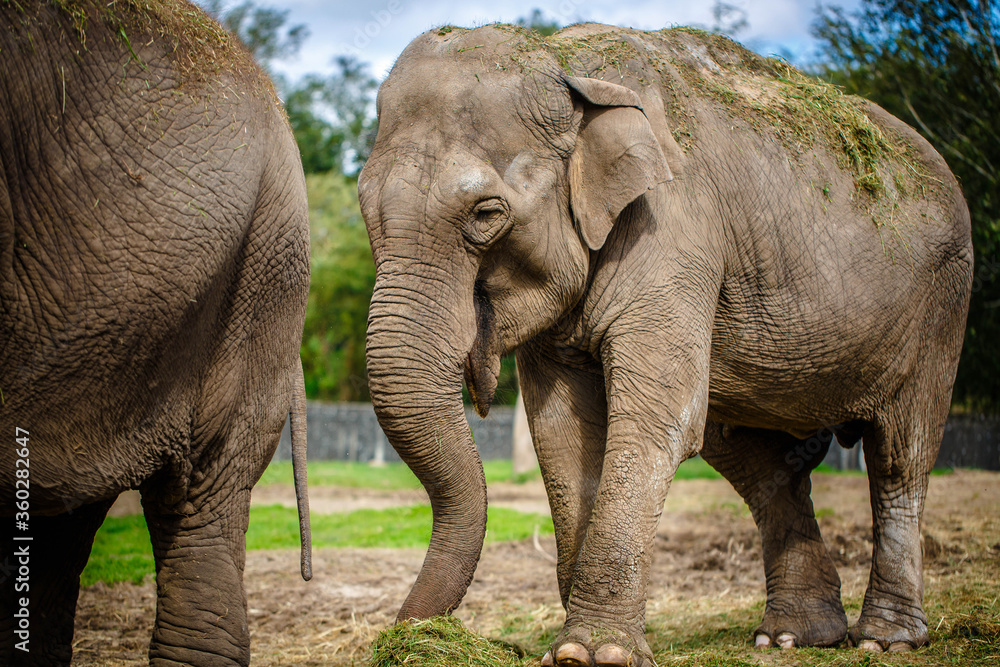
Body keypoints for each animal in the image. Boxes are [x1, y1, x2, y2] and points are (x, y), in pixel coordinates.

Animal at [359, 23, 973, 667]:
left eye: (485, 213)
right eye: (364, 207)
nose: (403, 635)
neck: (566, 63)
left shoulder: (675, 228)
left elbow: (658, 420)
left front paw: (593, 652)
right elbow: (562, 434)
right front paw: (574, 648)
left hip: (941, 307)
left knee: (900, 455)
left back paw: (885, 640)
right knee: (763, 467)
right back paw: (791, 638)